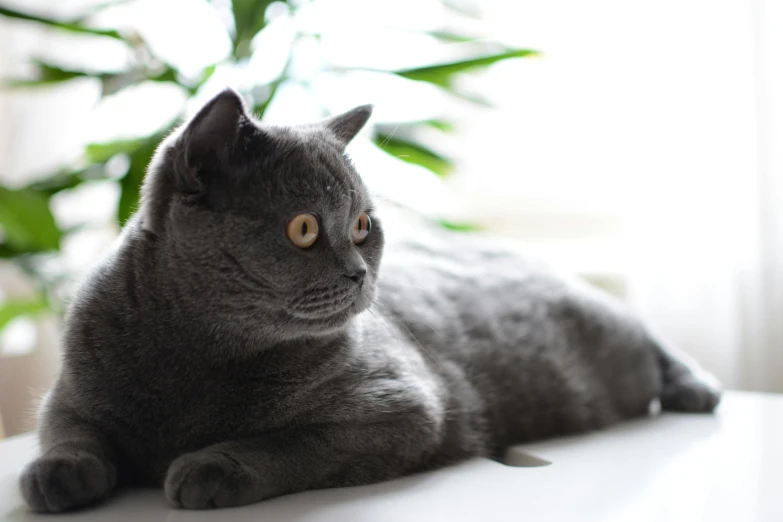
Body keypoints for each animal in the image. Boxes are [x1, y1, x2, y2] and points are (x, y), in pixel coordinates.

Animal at [19, 88, 724, 508]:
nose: (361, 272)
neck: (199, 354)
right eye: (304, 228)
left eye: (363, 224)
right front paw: (56, 475)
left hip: (600, 318)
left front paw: (210, 468)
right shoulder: (69, 392)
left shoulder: (401, 406)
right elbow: (69, 432)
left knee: (649, 332)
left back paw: (696, 388)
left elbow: (291, 444)